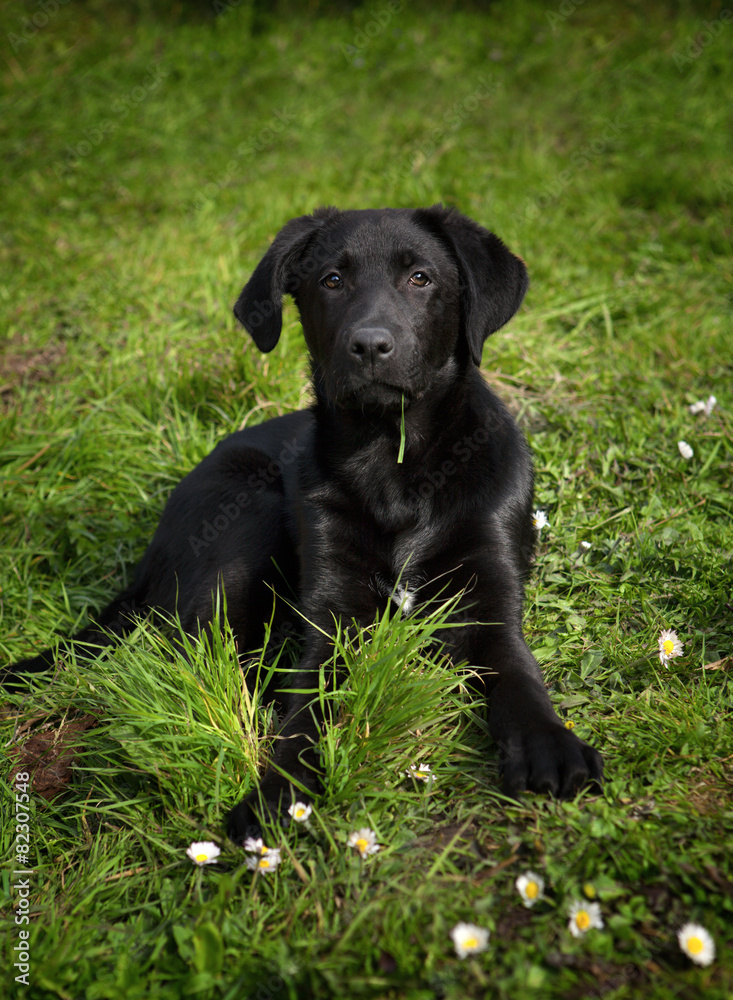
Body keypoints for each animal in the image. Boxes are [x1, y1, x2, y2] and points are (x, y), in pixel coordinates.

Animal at [4, 205, 600, 844]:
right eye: (331, 281)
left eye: (420, 278)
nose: (370, 345)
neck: (392, 461)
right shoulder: (332, 615)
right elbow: (309, 706)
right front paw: (278, 792)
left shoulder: (489, 597)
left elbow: (517, 678)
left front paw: (549, 746)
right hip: (247, 511)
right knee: (204, 654)